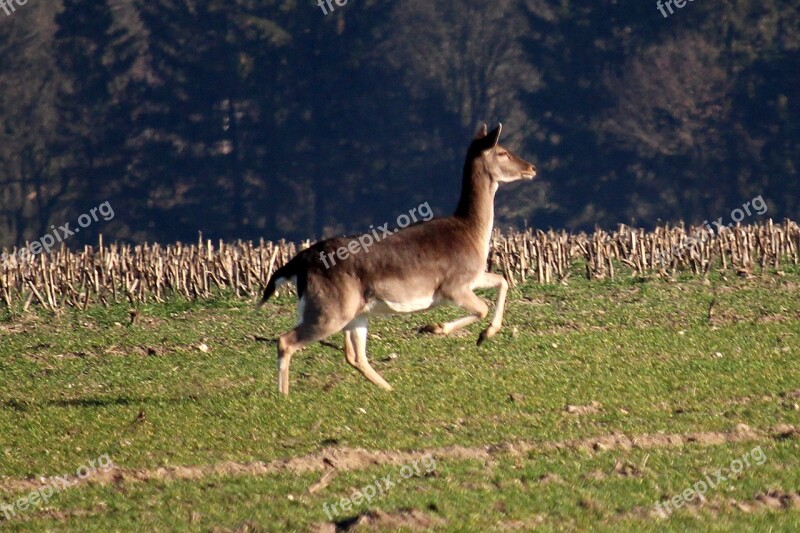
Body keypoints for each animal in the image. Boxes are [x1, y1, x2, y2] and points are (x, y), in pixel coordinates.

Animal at [260, 122, 536, 392]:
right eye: (502, 151)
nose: (532, 168)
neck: (472, 233)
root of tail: (300, 263)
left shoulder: (474, 276)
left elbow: (503, 280)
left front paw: (483, 334)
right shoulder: (452, 285)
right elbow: (482, 308)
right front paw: (438, 328)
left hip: (355, 312)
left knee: (354, 355)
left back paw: (391, 391)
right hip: (330, 308)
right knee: (286, 341)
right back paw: (284, 397)